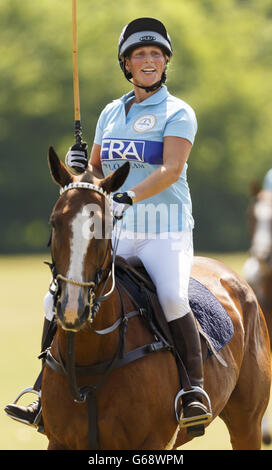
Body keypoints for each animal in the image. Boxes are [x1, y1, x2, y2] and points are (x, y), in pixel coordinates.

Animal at [42, 148, 270, 452]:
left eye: (104, 226)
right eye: (55, 222)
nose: (71, 308)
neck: (90, 354)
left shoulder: (150, 442)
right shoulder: (59, 441)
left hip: (247, 422)